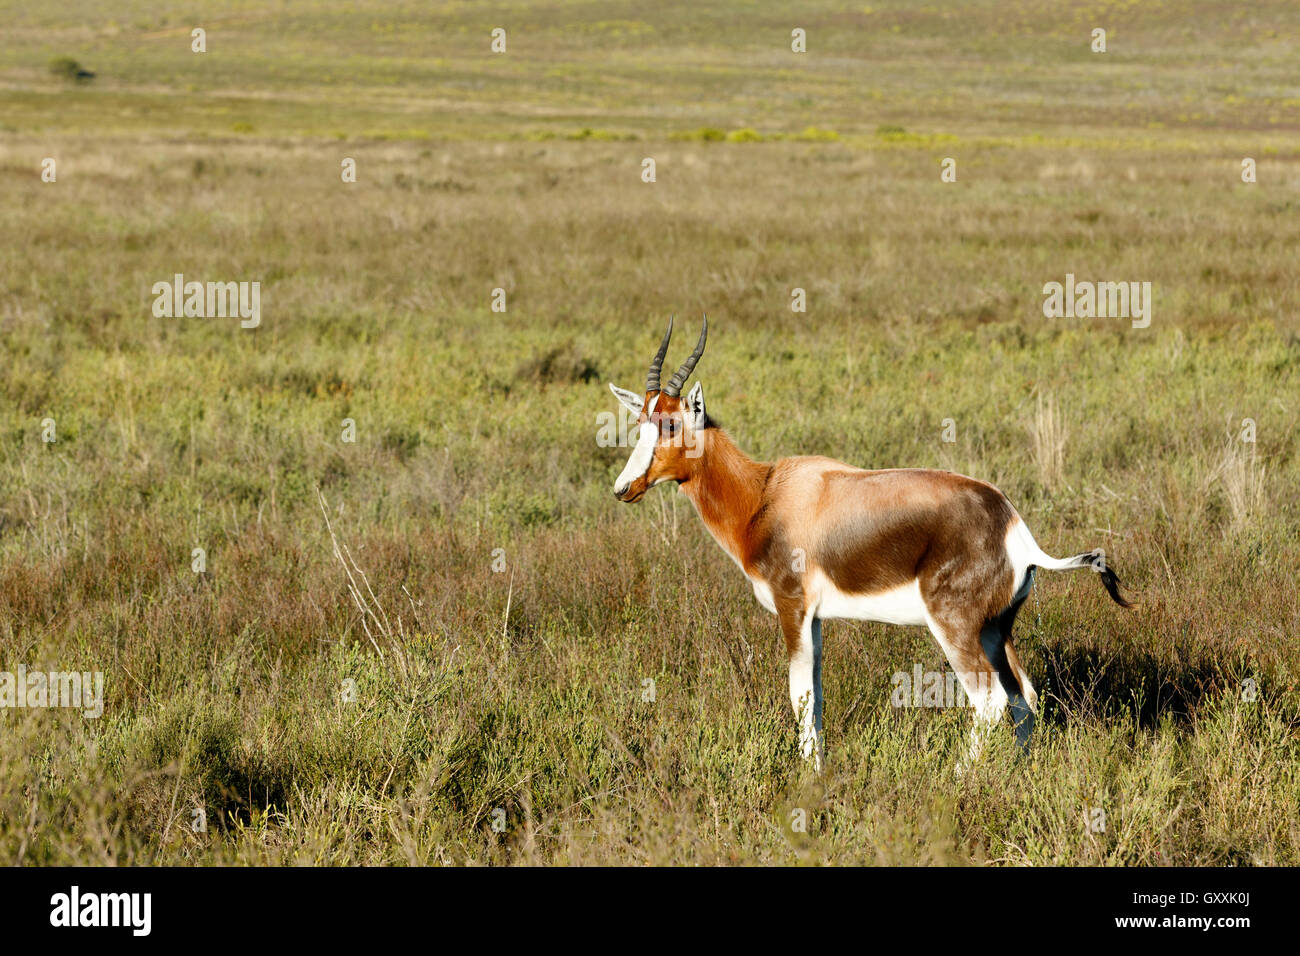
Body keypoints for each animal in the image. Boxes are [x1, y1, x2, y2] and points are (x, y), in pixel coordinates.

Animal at [608, 319, 1128, 770]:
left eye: (672, 424)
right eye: (640, 423)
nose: (623, 488)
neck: (767, 494)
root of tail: (1014, 526)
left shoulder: (791, 609)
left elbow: (799, 696)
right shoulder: (815, 619)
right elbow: (816, 698)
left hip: (955, 626)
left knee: (991, 700)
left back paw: (958, 778)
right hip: (996, 629)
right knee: (1025, 698)